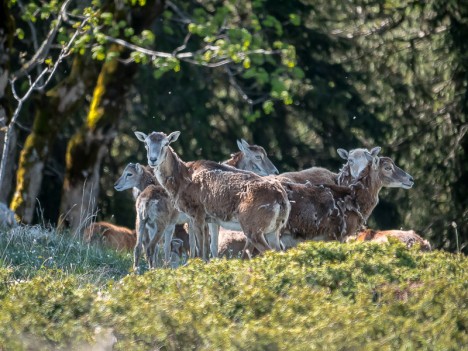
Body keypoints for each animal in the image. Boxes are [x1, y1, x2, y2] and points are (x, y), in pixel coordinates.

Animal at [133, 131, 290, 260]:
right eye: (146, 143)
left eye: (166, 143)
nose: (152, 159)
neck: (182, 181)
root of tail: (281, 200)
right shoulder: (213, 219)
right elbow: (211, 249)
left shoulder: (196, 213)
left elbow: (200, 250)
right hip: (273, 230)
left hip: (253, 227)